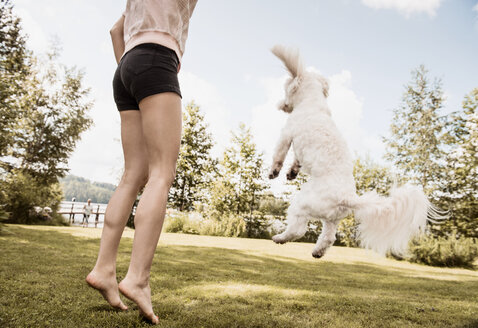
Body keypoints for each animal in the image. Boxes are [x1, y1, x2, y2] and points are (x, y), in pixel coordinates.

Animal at [268, 44, 444, 258]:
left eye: (285, 90)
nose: (281, 105)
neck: (313, 105)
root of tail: (347, 198)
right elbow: (296, 161)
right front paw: (292, 172)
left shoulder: (287, 134)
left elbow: (279, 154)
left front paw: (274, 172)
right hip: (332, 218)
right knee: (328, 237)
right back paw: (317, 252)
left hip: (302, 204)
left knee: (297, 230)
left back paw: (280, 238)